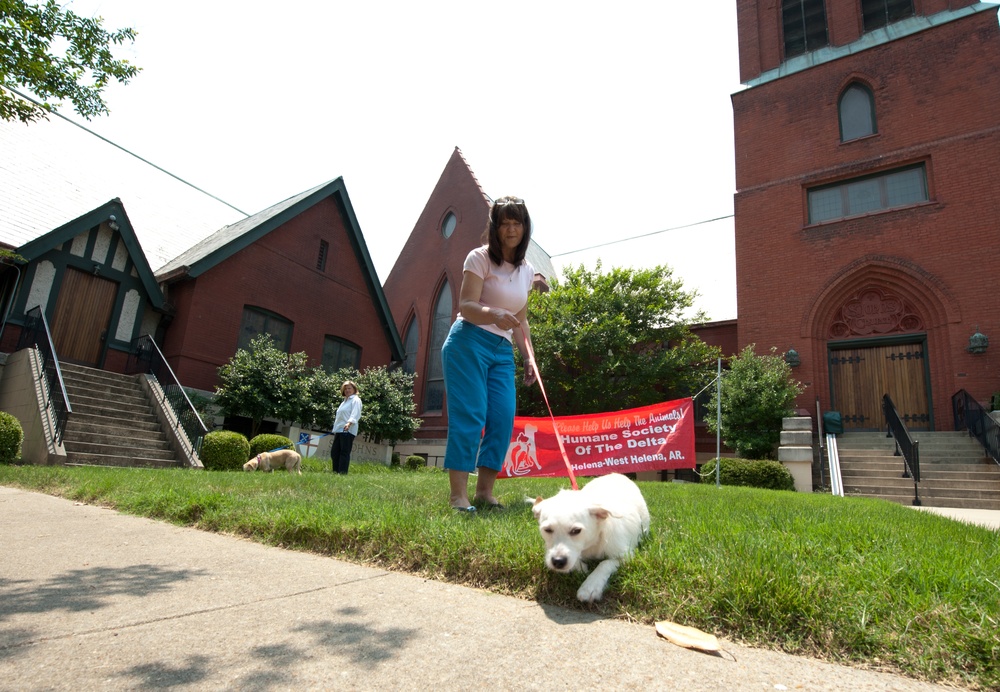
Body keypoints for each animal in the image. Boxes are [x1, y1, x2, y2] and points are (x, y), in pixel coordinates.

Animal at [532, 474, 648, 604]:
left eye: (576, 531)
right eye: (547, 530)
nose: (558, 561)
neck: (593, 543)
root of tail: (616, 474)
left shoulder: (626, 556)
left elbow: (605, 563)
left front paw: (591, 585)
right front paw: (581, 568)